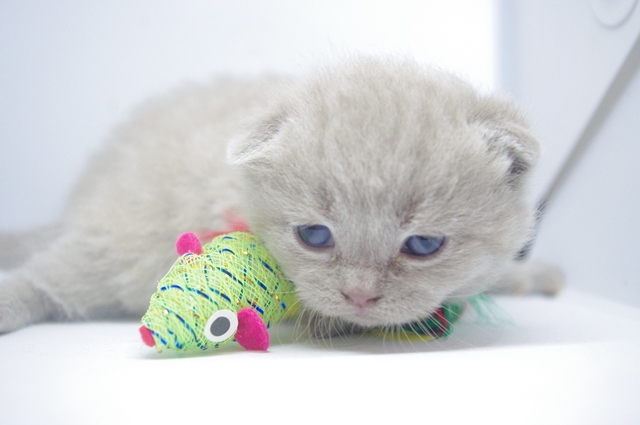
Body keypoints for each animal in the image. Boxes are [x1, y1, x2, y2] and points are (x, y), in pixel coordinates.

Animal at [0, 56, 563, 335]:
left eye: (423, 245)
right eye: (314, 235)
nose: (360, 296)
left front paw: (531, 274)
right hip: (122, 237)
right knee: (50, 277)